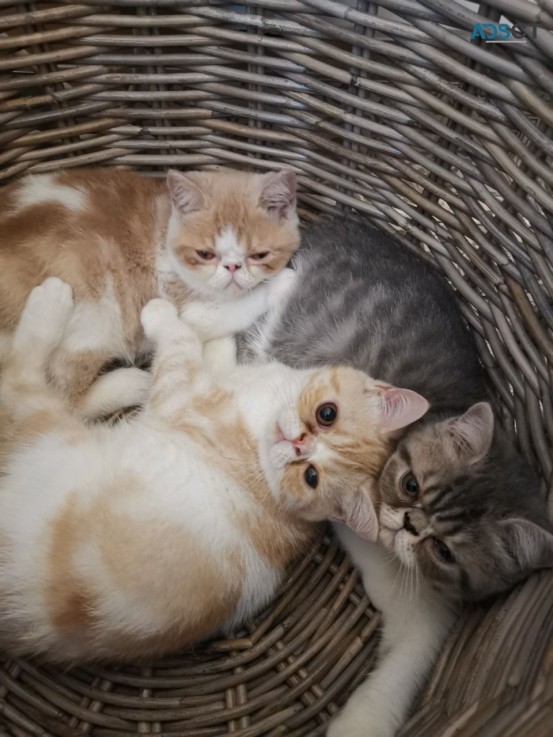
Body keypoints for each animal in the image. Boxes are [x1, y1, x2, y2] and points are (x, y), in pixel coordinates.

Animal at [0, 168, 298, 420]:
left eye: (259, 255)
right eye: (205, 254)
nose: (233, 267)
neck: (167, 227)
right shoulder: (185, 305)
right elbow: (231, 308)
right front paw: (282, 282)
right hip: (96, 314)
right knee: (60, 394)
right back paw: (131, 383)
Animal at [0, 274, 426, 660]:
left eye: (311, 477)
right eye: (327, 414)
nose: (298, 444)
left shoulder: (182, 394)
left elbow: (182, 343)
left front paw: (162, 314)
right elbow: (211, 349)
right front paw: (222, 333)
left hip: (43, 429)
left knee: (19, 373)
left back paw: (51, 304)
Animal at [245, 217, 552, 736]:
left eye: (444, 551)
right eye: (411, 486)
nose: (407, 524)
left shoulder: (425, 606)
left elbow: (412, 654)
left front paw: (362, 720)